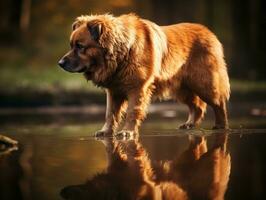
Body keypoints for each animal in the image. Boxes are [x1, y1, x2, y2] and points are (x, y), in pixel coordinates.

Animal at [59, 13, 230, 136]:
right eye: (71, 45)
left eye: (80, 46)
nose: (60, 63)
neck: (123, 53)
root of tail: (209, 32)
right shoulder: (113, 91)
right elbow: (110, 113)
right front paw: (106, 131)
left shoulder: (137, 88)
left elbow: (132, 111)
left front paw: (127, 132)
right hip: (180, 88)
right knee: (198, 106)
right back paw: (190, 124)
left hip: (204, 84)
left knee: (219, 104)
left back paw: (221, 126)